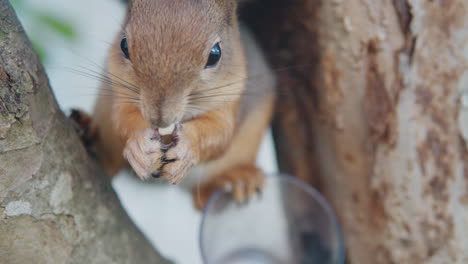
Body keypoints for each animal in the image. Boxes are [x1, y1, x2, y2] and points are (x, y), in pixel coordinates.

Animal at [85, 0, 274, 210]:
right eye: (124, 44)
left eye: (215, 54)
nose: (159, 118)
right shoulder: (120, 89)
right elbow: (122, 119)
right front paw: (139, 144)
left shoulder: (231, 97)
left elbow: (221, 133)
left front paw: (187, 147)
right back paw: (89, 134)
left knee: (204, 197)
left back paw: (237, 180)